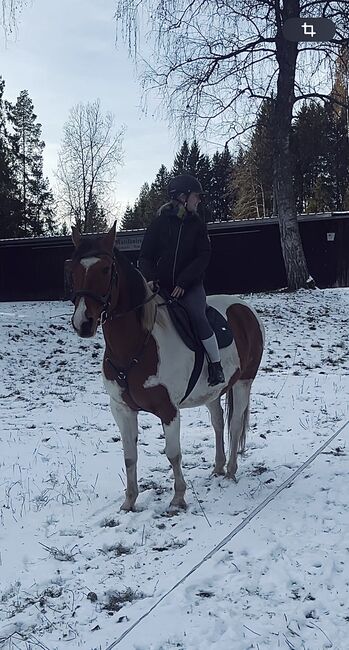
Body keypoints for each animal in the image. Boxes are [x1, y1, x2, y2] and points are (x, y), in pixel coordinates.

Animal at [68, 223, 264, 512]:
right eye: (73, 270)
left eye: (105, 269)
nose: (83, 322)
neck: (137, 346)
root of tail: (245, 308)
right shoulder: (122, 409)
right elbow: (129, 456)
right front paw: (129, 501)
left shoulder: (168, 409)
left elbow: (173, 454)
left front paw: (178, 498)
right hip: (213, 391)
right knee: (218, 422)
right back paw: (218, 467)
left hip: (243, 382)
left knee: (236, 423)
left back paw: (230, 471)